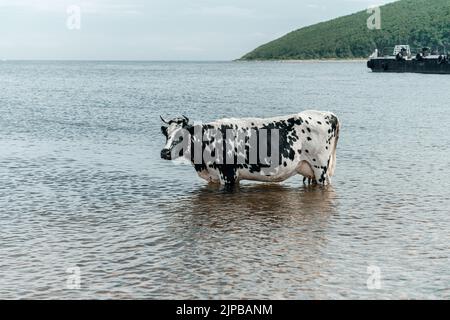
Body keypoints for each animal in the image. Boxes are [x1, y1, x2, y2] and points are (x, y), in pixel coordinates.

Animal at [160, 111, 340, 188]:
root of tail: (328, 114)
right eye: (166, 134)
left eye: (181, 136)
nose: (164, 152)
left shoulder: (228, 174)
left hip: (321, 169)